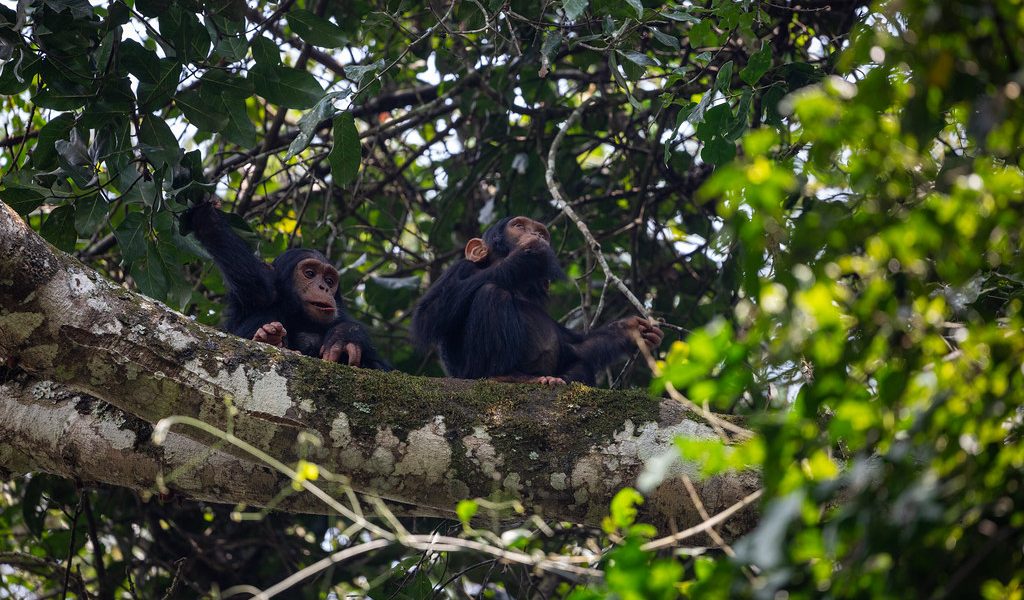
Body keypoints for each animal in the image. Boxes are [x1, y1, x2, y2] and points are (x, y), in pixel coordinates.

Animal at [182, 200, 389, 368]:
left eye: (329, 281)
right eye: (310, 273)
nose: (324, 287)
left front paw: (344, 336)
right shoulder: (257, 294)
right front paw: (207, 217)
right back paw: (271, 338)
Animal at [413, 215, 663, 382]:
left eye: (542, 233)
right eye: (519, 226)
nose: (535, 235)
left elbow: (574, 346)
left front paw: (630, 330)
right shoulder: (460, 269)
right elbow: (428, 316)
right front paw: (528, 255)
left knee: (581, 362)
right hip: (471, 373)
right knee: (492, 292)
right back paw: (505, 376)